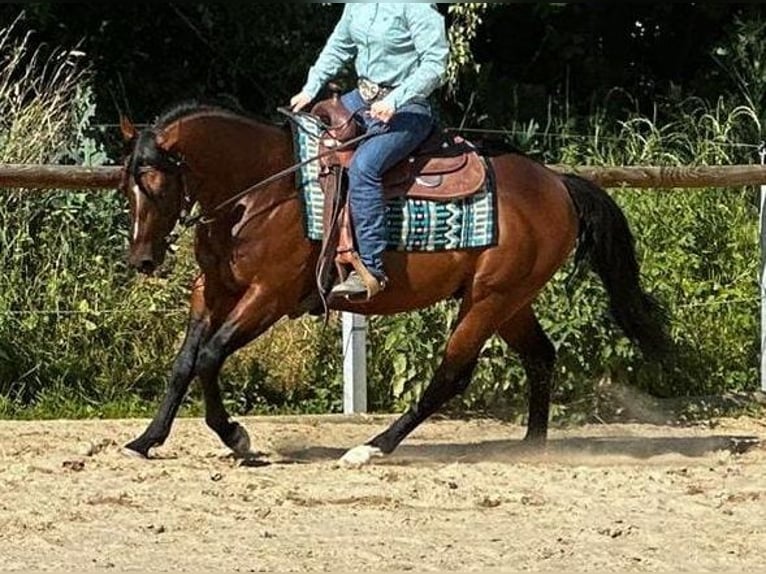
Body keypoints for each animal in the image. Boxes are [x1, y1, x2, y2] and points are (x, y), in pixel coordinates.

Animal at [118, 101, 667, 465]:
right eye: (128, 185)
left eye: (157, 184)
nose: (142, 258)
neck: (264, 189)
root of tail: (557, 183)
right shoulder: (213, 290)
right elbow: (184, 363)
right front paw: (146, 440)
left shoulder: (266, 297)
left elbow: (210, 357)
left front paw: (237, 438)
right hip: (512, 302)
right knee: (540, 356)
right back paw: (532, 446)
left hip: (489, 299)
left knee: (451, 375)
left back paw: (372, 447)